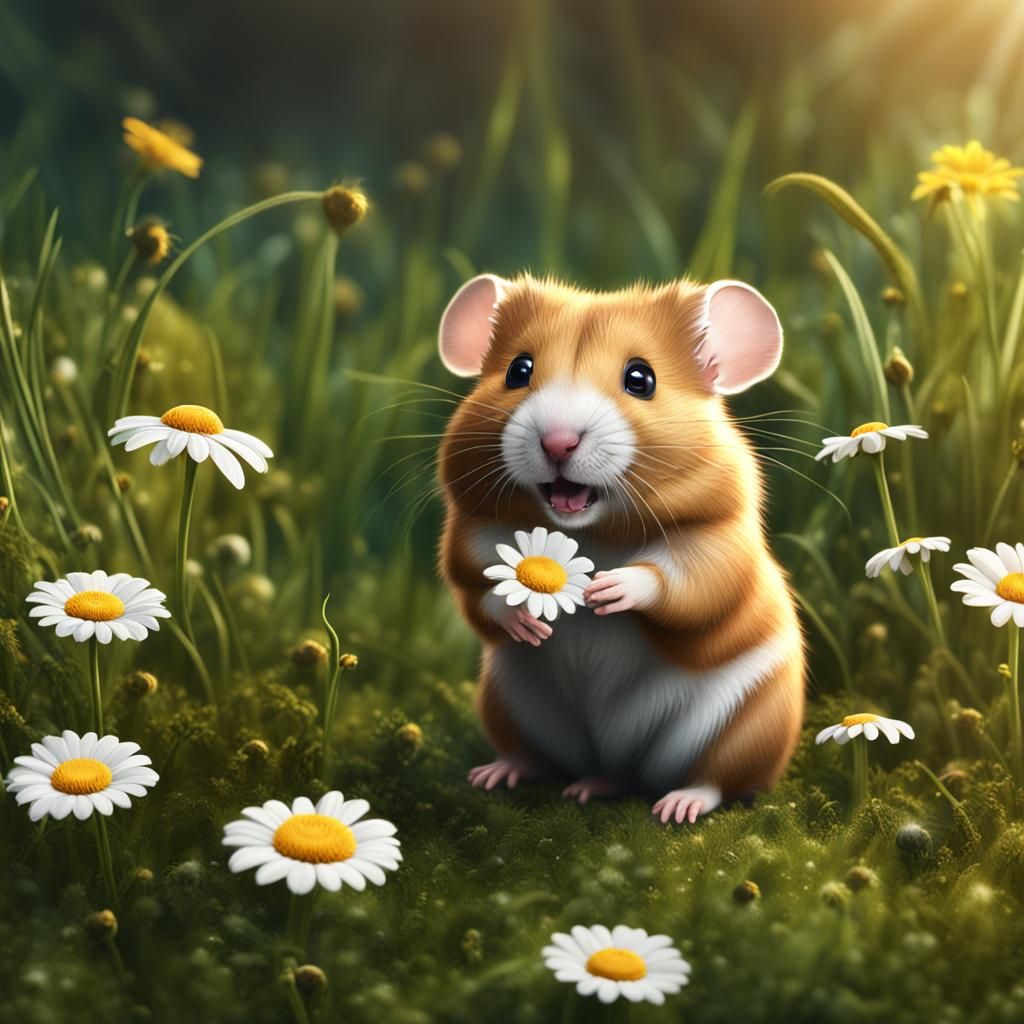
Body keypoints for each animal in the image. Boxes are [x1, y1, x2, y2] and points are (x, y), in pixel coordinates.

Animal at [436, 273, 804, 824]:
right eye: (518, 371)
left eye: (641, 379)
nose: (558, 442)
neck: (594, 532)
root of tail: (619, 759)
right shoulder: (469, 537)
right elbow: (477, 588)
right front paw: (528, 623)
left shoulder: (721, 542)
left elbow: (692, 585)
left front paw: (605, 591)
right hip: (505, 704)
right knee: (544, 759)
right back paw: (508, 776)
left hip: (747, 725)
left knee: (718, 779)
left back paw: (677, 805)